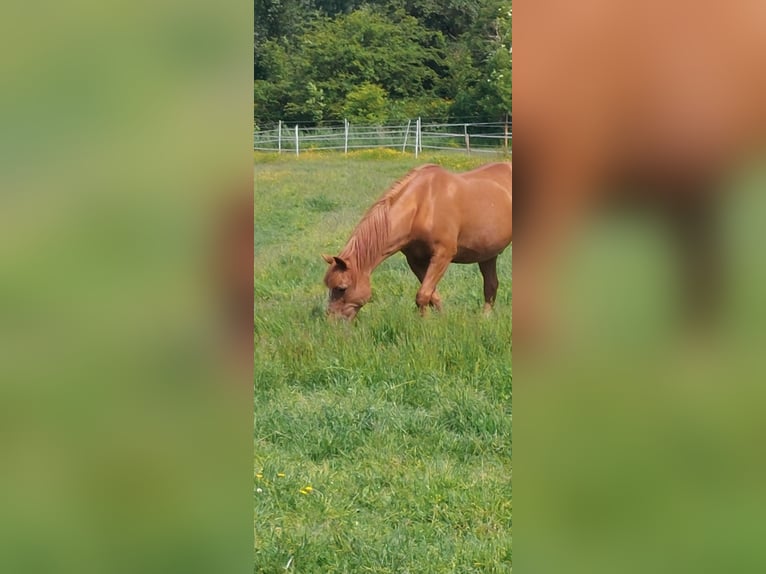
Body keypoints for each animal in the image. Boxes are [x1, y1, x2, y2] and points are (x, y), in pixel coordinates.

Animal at [320, 163, 512, 320]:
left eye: (341, 288)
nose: (332, 322)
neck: (422, 205)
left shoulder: (443, 255)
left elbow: (423, 295)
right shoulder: (415, 260)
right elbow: (431, 295)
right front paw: (439, 320)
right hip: (488, 254)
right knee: (491, 285)